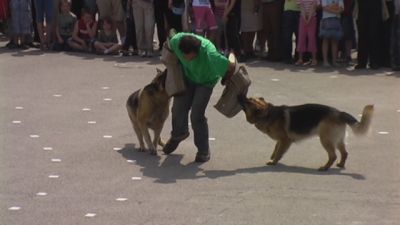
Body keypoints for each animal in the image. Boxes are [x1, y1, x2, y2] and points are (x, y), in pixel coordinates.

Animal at [238, 95, 376, 171]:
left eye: (248, 101)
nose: (240, 96)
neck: (268, 114)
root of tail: (340, 113)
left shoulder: (285, 140)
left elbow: (278, 152)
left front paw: (274, 162)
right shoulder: (281, 140)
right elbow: (276, 149)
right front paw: (273, 157)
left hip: (325, 139)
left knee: (333, 155)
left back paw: (325, 168)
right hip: (337, 140)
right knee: (345, 153)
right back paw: (341, 164)